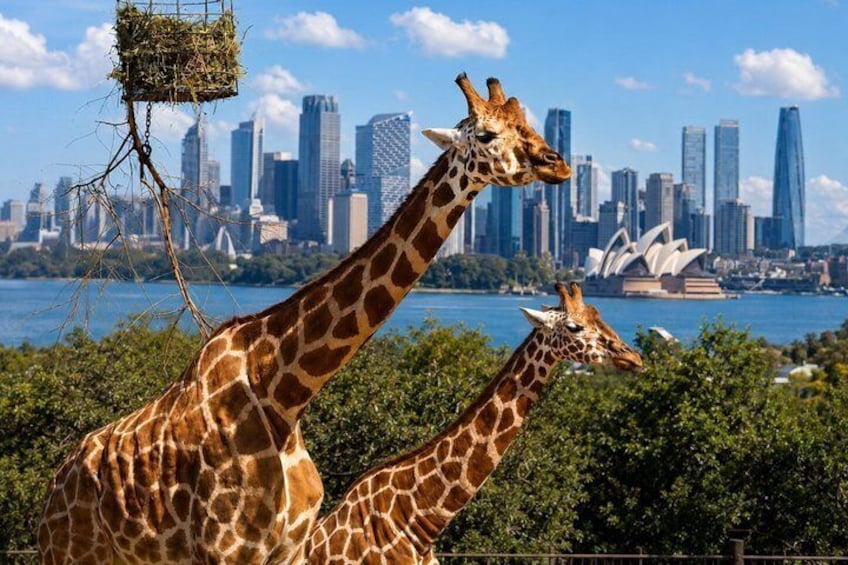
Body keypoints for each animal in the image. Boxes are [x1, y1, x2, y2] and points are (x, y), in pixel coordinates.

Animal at [37, 74, 571, 565]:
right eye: (486, 133)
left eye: (527, 124)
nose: (558, 162)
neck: (285, 394)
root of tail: (56, 482)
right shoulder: (227, 550)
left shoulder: (291, 548)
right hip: (70, 552)